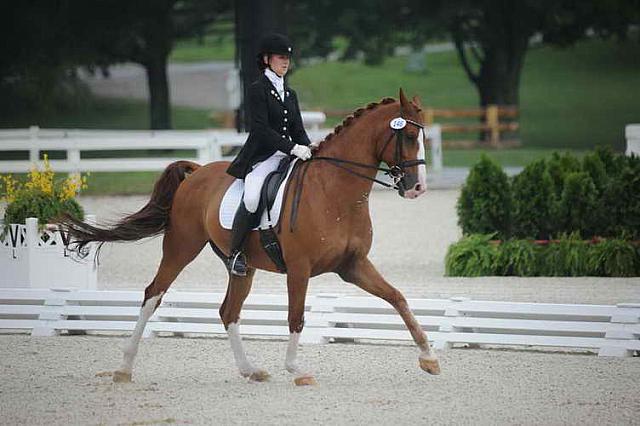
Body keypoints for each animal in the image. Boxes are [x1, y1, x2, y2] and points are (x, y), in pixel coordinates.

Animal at [63, 88, 440, 384]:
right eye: (408, 137)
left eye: (422, 138)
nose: (418, 188)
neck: (334, 192)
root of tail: (196, 173)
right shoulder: (300, 269)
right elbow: (296, 317)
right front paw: (296, 369)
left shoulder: (353, 265)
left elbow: (397, 298)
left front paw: (429, 357)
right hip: (181, 247)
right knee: (153, 294)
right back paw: (124, 368)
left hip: (241, 266)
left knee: (228, 311)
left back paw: (250, 370)